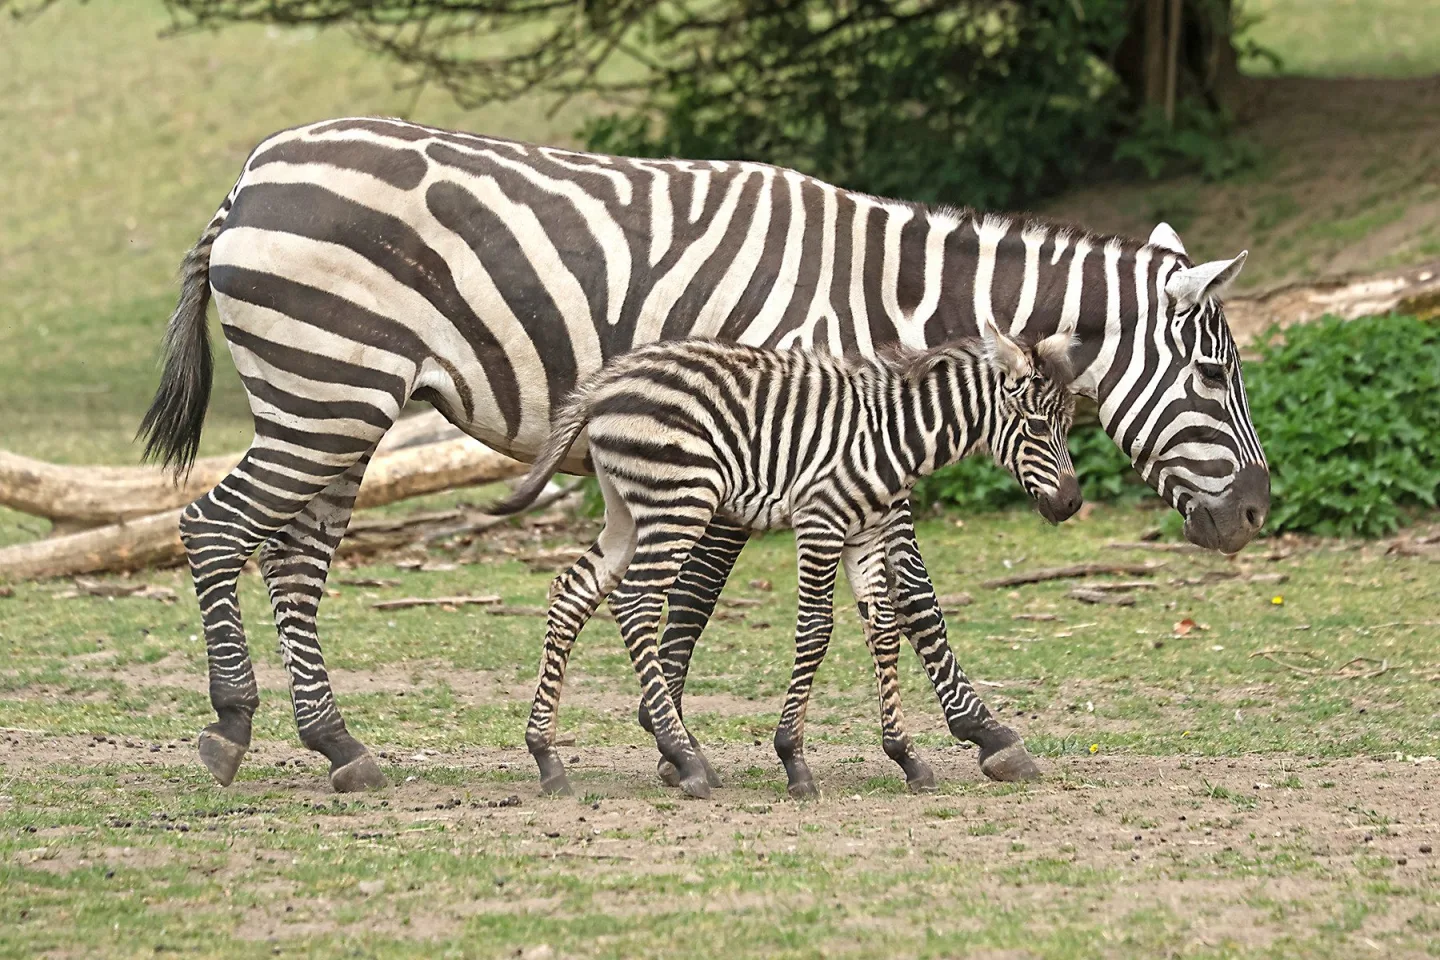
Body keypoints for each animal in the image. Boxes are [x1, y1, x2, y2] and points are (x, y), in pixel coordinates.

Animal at [488, 324, 1079, 798]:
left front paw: (906, 757)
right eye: (1034, 425)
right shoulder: (821, 519)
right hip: (679, 498)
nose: (1071, 504)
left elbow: (884, 630)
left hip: (625, 510)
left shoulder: (864, 531)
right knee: (635, 603)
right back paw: (685, 760)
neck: (894, 433)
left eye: (1067, 424)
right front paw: (793, 759)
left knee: (571, 591)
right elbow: (816, 631)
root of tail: (605, 381)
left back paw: (548, 759)